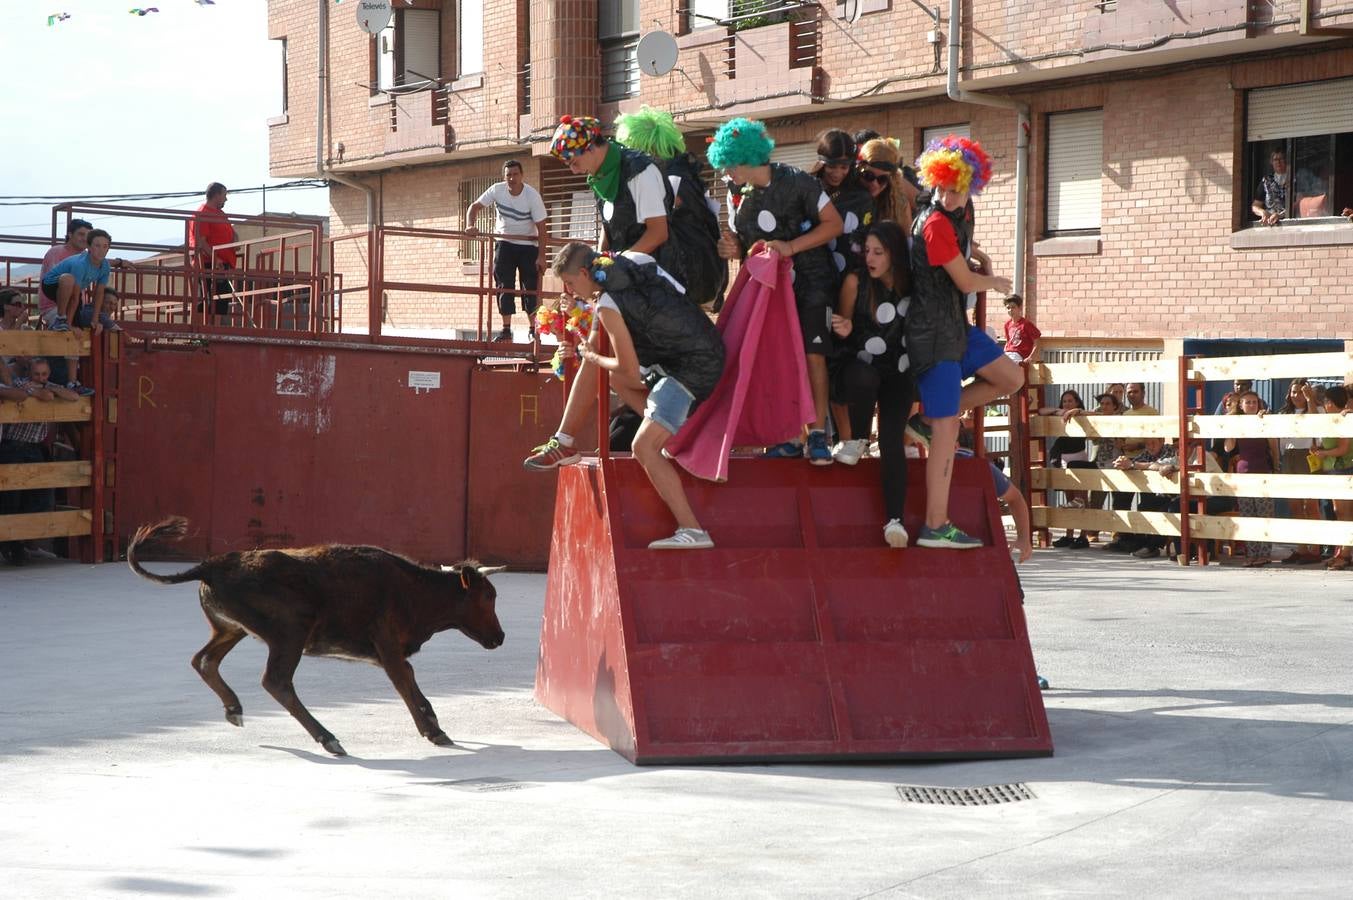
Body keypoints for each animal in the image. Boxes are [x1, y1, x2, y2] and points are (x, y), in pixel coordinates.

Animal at [127, 516, 503, 752]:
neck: (414, 590)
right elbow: (403, 682)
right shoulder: (387, 645)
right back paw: (329, 740)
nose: (499, 637)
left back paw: (234, 709)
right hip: (289, 634)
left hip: (231, 629)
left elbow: (409, 679)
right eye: (488, 596)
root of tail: (211, 565)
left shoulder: (387, 652)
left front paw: (433, 722)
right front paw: (434, 732)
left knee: (204, 660)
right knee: (275, 681)